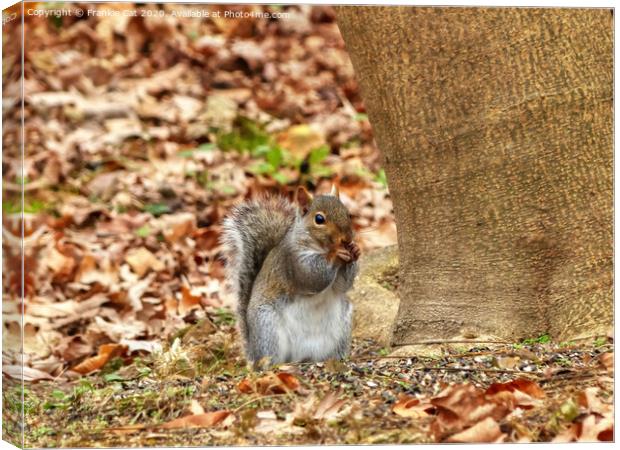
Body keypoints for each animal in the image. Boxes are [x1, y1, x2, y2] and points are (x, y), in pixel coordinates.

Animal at [222, 185, 358, 368]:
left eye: (348, 214)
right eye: (319, 219)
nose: (347, 239)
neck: (319, 247)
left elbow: (343, 285)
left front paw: (355, 250)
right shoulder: (294, 262)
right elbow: (314, 276)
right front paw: (336, 253)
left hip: (342, 325)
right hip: (267, 327)